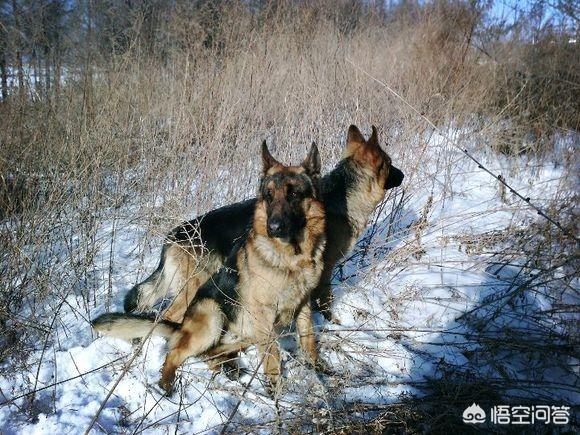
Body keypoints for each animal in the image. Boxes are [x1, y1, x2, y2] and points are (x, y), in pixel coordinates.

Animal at [92, 141, 326, 394]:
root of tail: (171, 237)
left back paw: (228, 367)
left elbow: (309, 338)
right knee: (176, 343)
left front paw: (318, 368)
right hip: (207, 307)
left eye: (294, 193)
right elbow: (271, 352)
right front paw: (275, 389)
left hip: (239, 330)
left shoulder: (303, 303)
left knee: (207, 350)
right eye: (269, 196)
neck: (294, 257)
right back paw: (167, 381)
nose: (273, 227)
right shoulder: (264, 312)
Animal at [122, 124, 404, 326]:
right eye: (390, 164)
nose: (402, 175)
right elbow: (324, 301)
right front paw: (330, 322)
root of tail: (171, 236)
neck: (343, 194)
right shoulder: (324, 272)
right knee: (169, 316)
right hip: (193, 287)